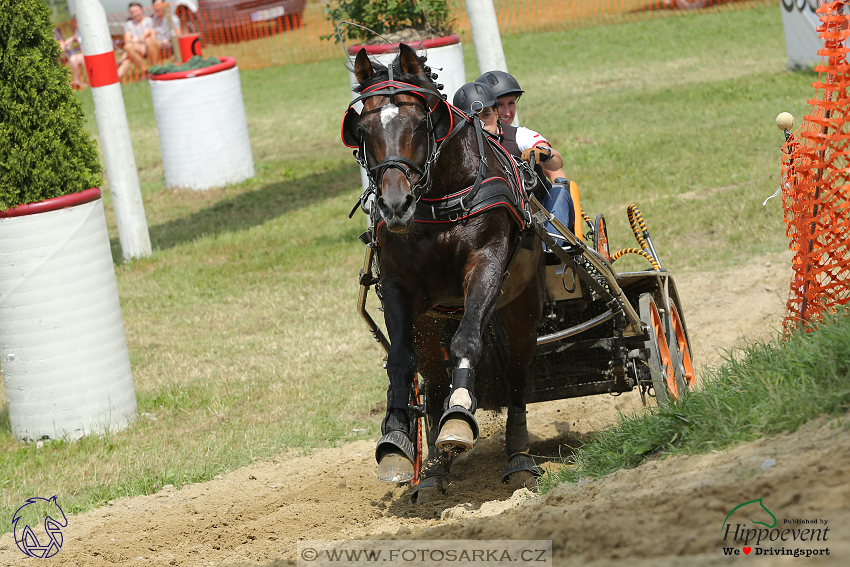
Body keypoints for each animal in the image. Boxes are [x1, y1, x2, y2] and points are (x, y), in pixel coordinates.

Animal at [342, 44, 544, 492]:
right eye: (361, 129)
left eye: (421, 123)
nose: (395, 205)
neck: (439, 198)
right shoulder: (399, 287)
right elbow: (400, 359)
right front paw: (395, 438)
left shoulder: (486, 264)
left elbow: (467, 341)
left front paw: (460, 416)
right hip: (431, 321)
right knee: (433, 382)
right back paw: (432, 467)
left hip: (522, 307)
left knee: (519, 377)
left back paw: (518, 455)